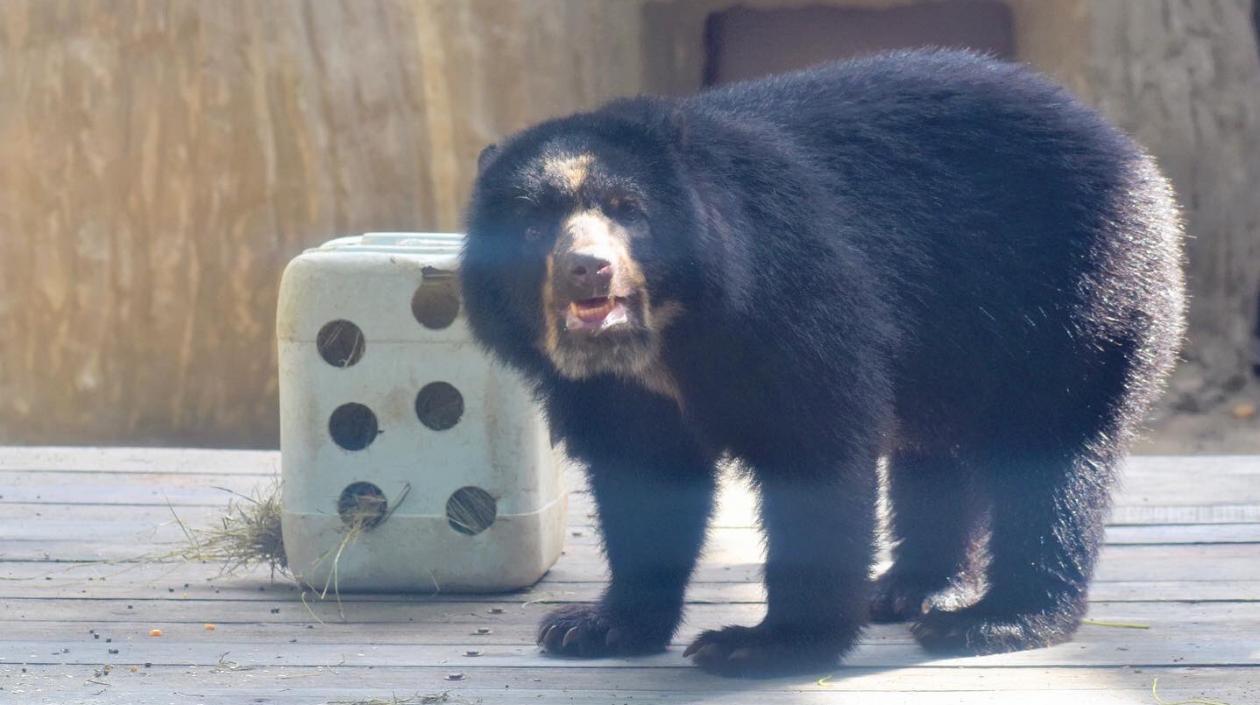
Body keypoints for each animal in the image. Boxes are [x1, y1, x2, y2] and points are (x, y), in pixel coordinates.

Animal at [458, 49, 1185, 678]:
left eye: (627, 212)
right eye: (535, 222)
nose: (589, 269)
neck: (664, 340)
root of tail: (1132, 153)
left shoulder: (790, 306)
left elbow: (814, 458)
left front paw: (759, 644)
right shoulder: (610, 390)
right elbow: (641, 481)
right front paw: (594, 626)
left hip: (1073, 297)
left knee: (1051, 457)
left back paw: (995, 619)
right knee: (937, 455)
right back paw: (913, 588)